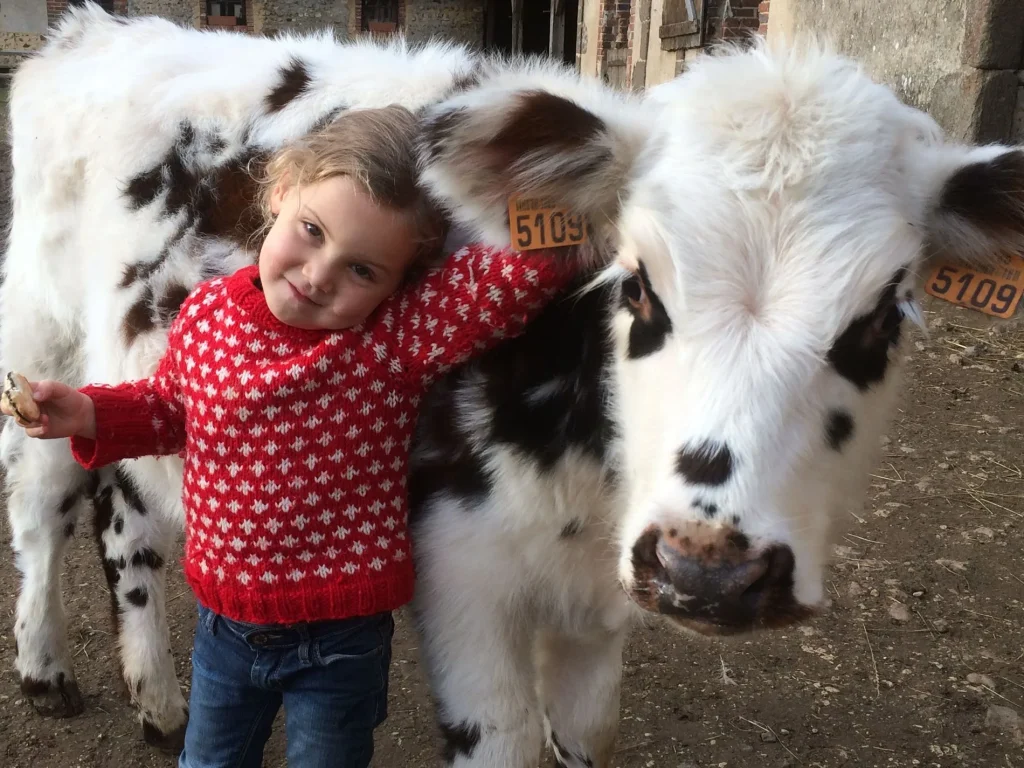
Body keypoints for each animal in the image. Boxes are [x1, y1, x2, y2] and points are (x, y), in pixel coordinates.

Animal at [2, 6, 1024, 768]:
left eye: (883, 317)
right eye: (638, 283)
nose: (709, 568)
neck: (589, 481)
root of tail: (96, 29)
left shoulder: (599, 600)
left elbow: (584, 731)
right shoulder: (463, 572)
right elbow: (502, 739)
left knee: (126, 508)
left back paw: (157, 700)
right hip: (42, 336)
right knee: (45, 505)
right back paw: (47, 668)